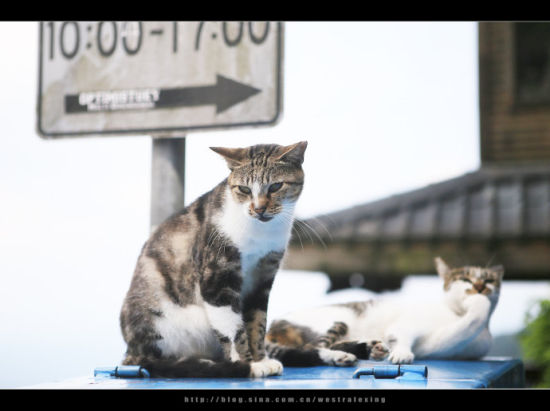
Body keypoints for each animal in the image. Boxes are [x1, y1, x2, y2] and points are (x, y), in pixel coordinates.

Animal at [121, 142, 308, 380]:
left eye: (275, 186)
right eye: (244, 189)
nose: (258, 209)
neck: (260, 235)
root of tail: (131, 352)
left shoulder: (263, 278)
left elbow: (257, 322)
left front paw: (261, 359)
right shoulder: (216, 278)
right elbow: (233, 328)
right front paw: (249, 364)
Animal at [268, 258, 504, 366]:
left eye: (489, 280)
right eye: (465, 279)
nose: (480, 287)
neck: (455, 313)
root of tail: (271, 325)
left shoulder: (449, 341)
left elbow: (467, 325)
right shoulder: (405, 325)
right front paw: (402, 352)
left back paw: (367, 348)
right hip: (338, 321)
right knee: (313, 347)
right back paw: (343, 355)